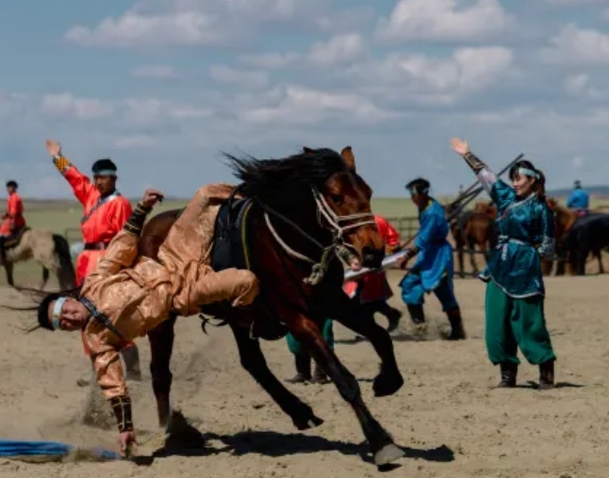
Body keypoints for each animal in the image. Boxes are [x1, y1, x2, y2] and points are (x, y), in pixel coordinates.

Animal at [138, 147, 404, 466]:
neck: (290, 244)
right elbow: (343, 378)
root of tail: (150, 229)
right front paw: (379, 441)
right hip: (163, 321)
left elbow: (380, 336)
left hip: (239, 317)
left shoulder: (334, 302)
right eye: (336, 196)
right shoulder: (297, 317)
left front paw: (388, 381)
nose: (373, 251)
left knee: (253, 363)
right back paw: (170, 430)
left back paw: (300, 412)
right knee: (160, 372)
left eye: (368, 192)